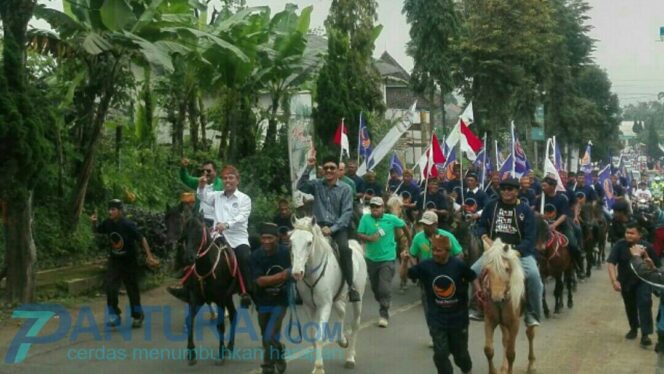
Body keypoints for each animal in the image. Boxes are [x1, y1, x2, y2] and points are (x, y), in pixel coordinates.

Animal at [290, 216, 368, 374]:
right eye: (291, 241)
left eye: (309, 242)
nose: (297, 273)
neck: (312, 274)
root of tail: (355, 247)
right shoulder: (309, 307)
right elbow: (313, 335)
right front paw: (317, 364)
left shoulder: (324, 306)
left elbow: (320, 336)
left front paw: (319, 368)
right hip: (337, 298)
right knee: (342, 312)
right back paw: (342, 340)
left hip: (358, 299)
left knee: (355, 324)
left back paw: (350, 357)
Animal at [478, 240, 536, 374]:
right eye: (487, 269)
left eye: (507, 269)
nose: (497, 297)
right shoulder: (489, 320)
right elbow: (488, 350)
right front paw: (494, 371)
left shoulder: (514, 323)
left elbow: (511, 354)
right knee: (505, 339)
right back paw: (504, 367)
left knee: (530, 334)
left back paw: (531, 365)